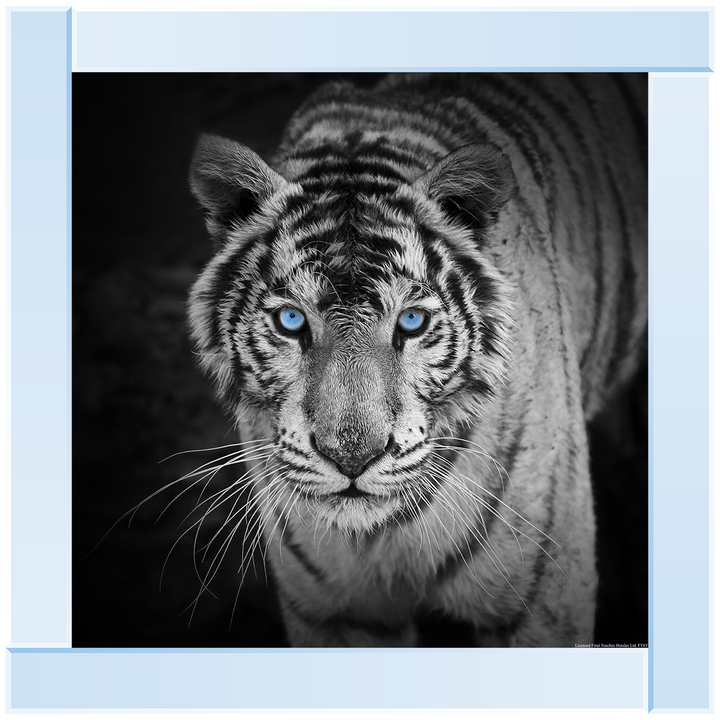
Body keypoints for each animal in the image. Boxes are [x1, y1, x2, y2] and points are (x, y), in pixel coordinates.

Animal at [187, 73, 648, 647]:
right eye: (291, 320)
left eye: (410, 322)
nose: (352, 459)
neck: (380, 536)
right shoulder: (336, 613)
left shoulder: (541, 605)